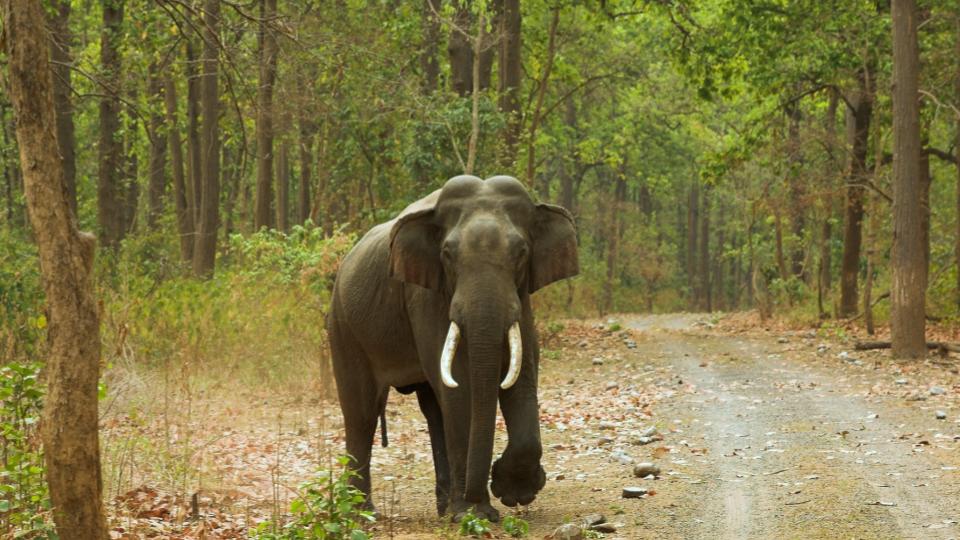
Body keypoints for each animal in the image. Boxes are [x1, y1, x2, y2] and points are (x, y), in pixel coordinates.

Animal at [326, 174, 578, 522]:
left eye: (521, 252)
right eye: (447, 254)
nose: (481, 501)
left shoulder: (521, 294)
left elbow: (522, 374)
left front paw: (512, 494)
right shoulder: (424, 293)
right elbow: (459, 387)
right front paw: (473, 514)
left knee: (433, 410)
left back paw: (443, 508)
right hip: (343, 328)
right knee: (361, 413)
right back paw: (362, 514)